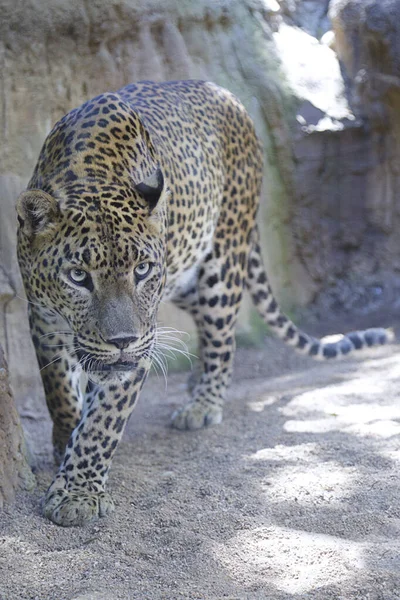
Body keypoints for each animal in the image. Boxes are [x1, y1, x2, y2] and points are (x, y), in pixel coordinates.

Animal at [16, 79, 394, 524]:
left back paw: (203, 404)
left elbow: (102, 421)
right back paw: (195, 381)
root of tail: (225, 93)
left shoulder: (142, 340)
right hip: (185, 274)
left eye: (142, 269)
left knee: (223, 337)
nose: (122, 342)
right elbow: (57, 390)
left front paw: (78, 493)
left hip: (222, 260)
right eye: (78, 276)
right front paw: (65, 440)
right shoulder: (43, 318)